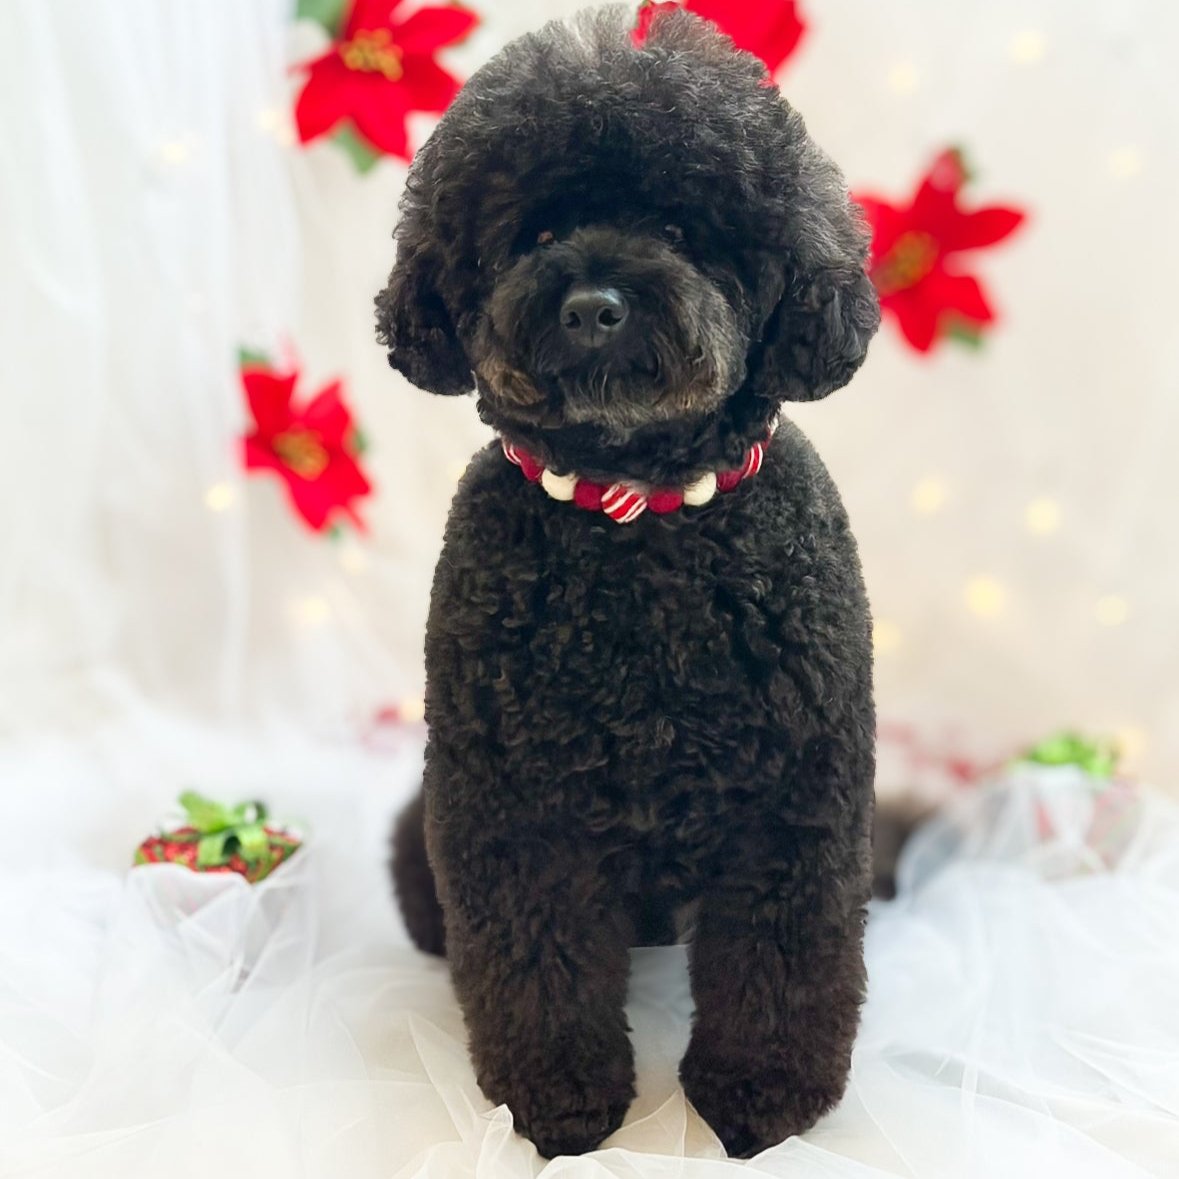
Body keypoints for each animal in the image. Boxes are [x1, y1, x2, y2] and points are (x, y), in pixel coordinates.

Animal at [374, 2, 877, 1160]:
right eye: (532, 234)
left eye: (686, 231)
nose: (594, 305)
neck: (637, 526)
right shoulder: (510, 809)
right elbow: (537, 968)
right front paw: (559, 1101)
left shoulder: (796, 801)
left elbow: (780, 966)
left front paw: (758, 1098)